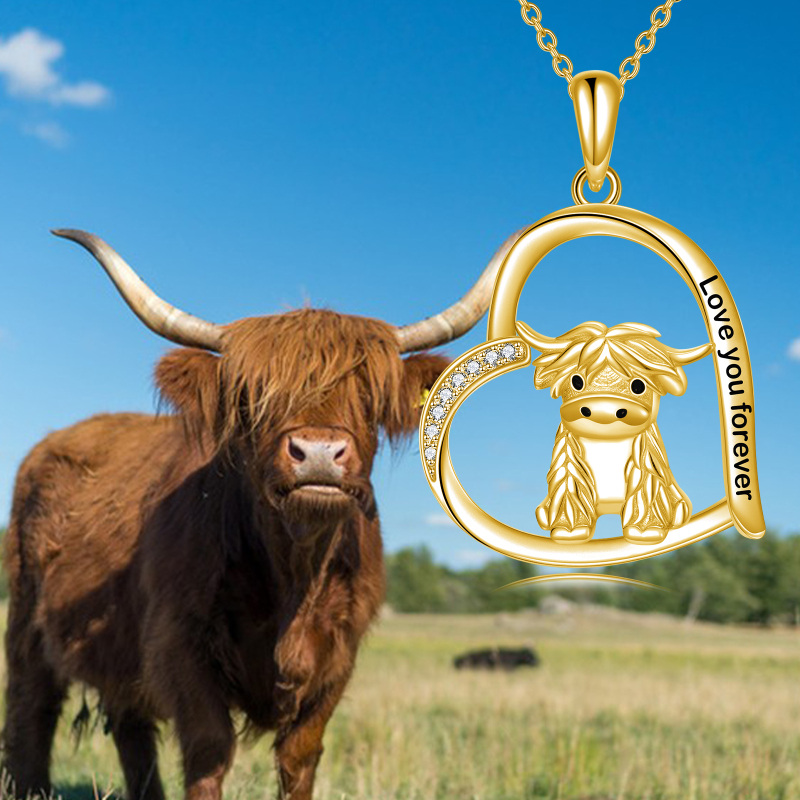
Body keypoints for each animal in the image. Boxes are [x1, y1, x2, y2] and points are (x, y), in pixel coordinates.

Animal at [2, 229, 507, 800]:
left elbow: (300, 754)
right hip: (26, 623)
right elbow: (208, 749)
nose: (317, 452)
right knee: (30, 711)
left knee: (131, 730)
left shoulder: (338, 656)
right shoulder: (181, 643)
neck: (294, 572)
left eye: (366, 393)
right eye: (253, 396)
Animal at [518, 320, 712, 545]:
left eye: (638, 385)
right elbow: (569, 490)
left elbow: (643, 493)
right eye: (576, 381)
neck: (607, 445)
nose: (603, 410)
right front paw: (570, 530)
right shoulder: (568, 466)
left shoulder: (646, 467)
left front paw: (645, 530)